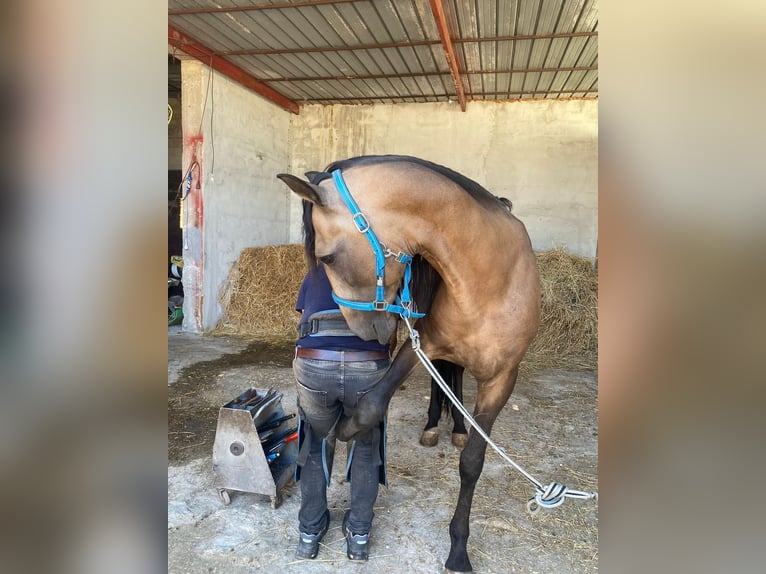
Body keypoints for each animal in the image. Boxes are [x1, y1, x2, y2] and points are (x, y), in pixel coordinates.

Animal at [280, 156, 544, 574]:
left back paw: (456, 428)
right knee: (445, 381)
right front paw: (346, 427)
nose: (365, 332)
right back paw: (434, 425)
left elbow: (473, 463)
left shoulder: (502, 380)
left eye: (327, 258)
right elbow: (372, 403)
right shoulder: (421, 343)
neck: (488, 280)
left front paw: (458, 550)